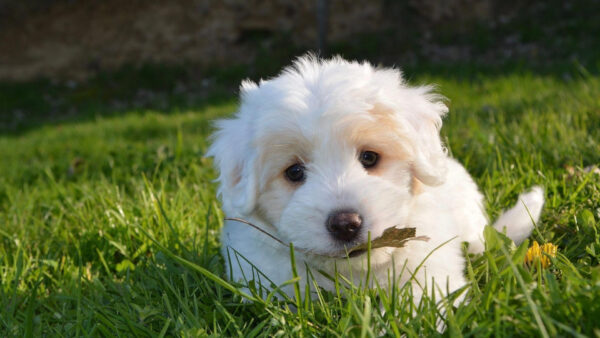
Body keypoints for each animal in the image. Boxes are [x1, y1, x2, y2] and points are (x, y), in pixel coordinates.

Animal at [209, 54, 548, 302]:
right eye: (294, 172)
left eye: (370, 158)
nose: (345, 224)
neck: (353, 273)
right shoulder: (263, 275)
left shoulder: (430, 271)